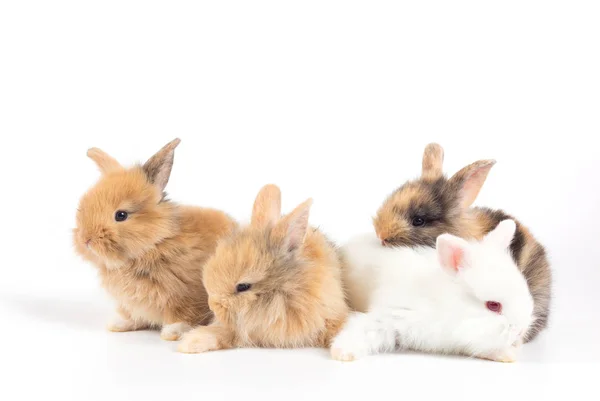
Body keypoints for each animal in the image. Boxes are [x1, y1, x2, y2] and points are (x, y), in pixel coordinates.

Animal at [73, 139, 237, 340]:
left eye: (121, 215)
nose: (86, 240)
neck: (155, 243)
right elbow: (132, 315)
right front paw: (119, 324)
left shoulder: (185, 296)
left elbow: (183, 314)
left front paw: (173, 332)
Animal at [332, 219, 536, 362]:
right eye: (493, 305)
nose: (520, 331)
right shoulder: (393, 315)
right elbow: (365, 328)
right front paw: (341, 352)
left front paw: (507, 354)